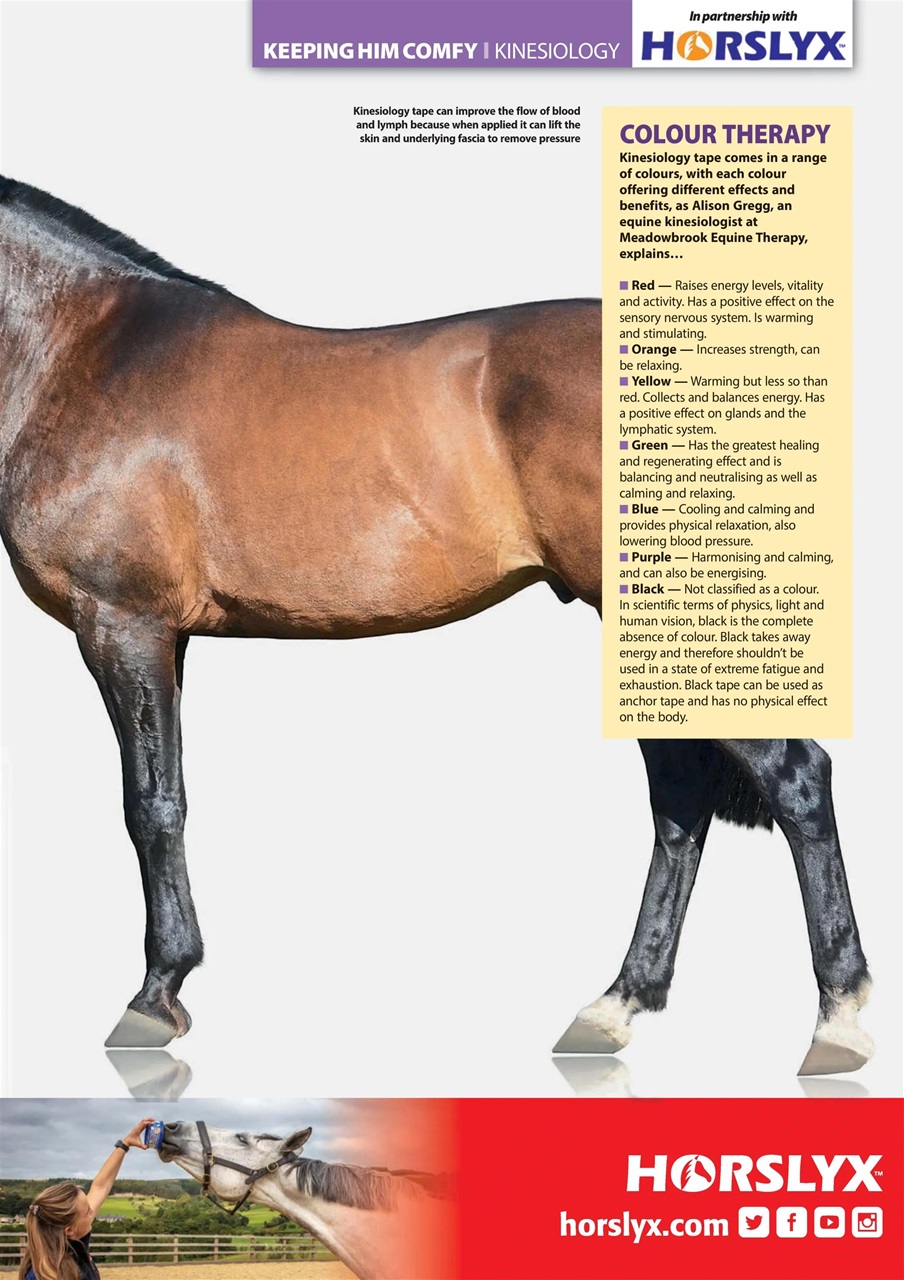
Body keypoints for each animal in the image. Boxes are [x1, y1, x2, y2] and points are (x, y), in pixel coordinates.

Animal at [0, 176, 872, 1074]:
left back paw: (835, 1018)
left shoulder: (121, 623)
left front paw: (155, 994)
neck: (81, 351)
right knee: (682, 795)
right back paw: (616, 1004)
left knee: (791, 776)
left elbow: (151, 805)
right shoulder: (167, 637)